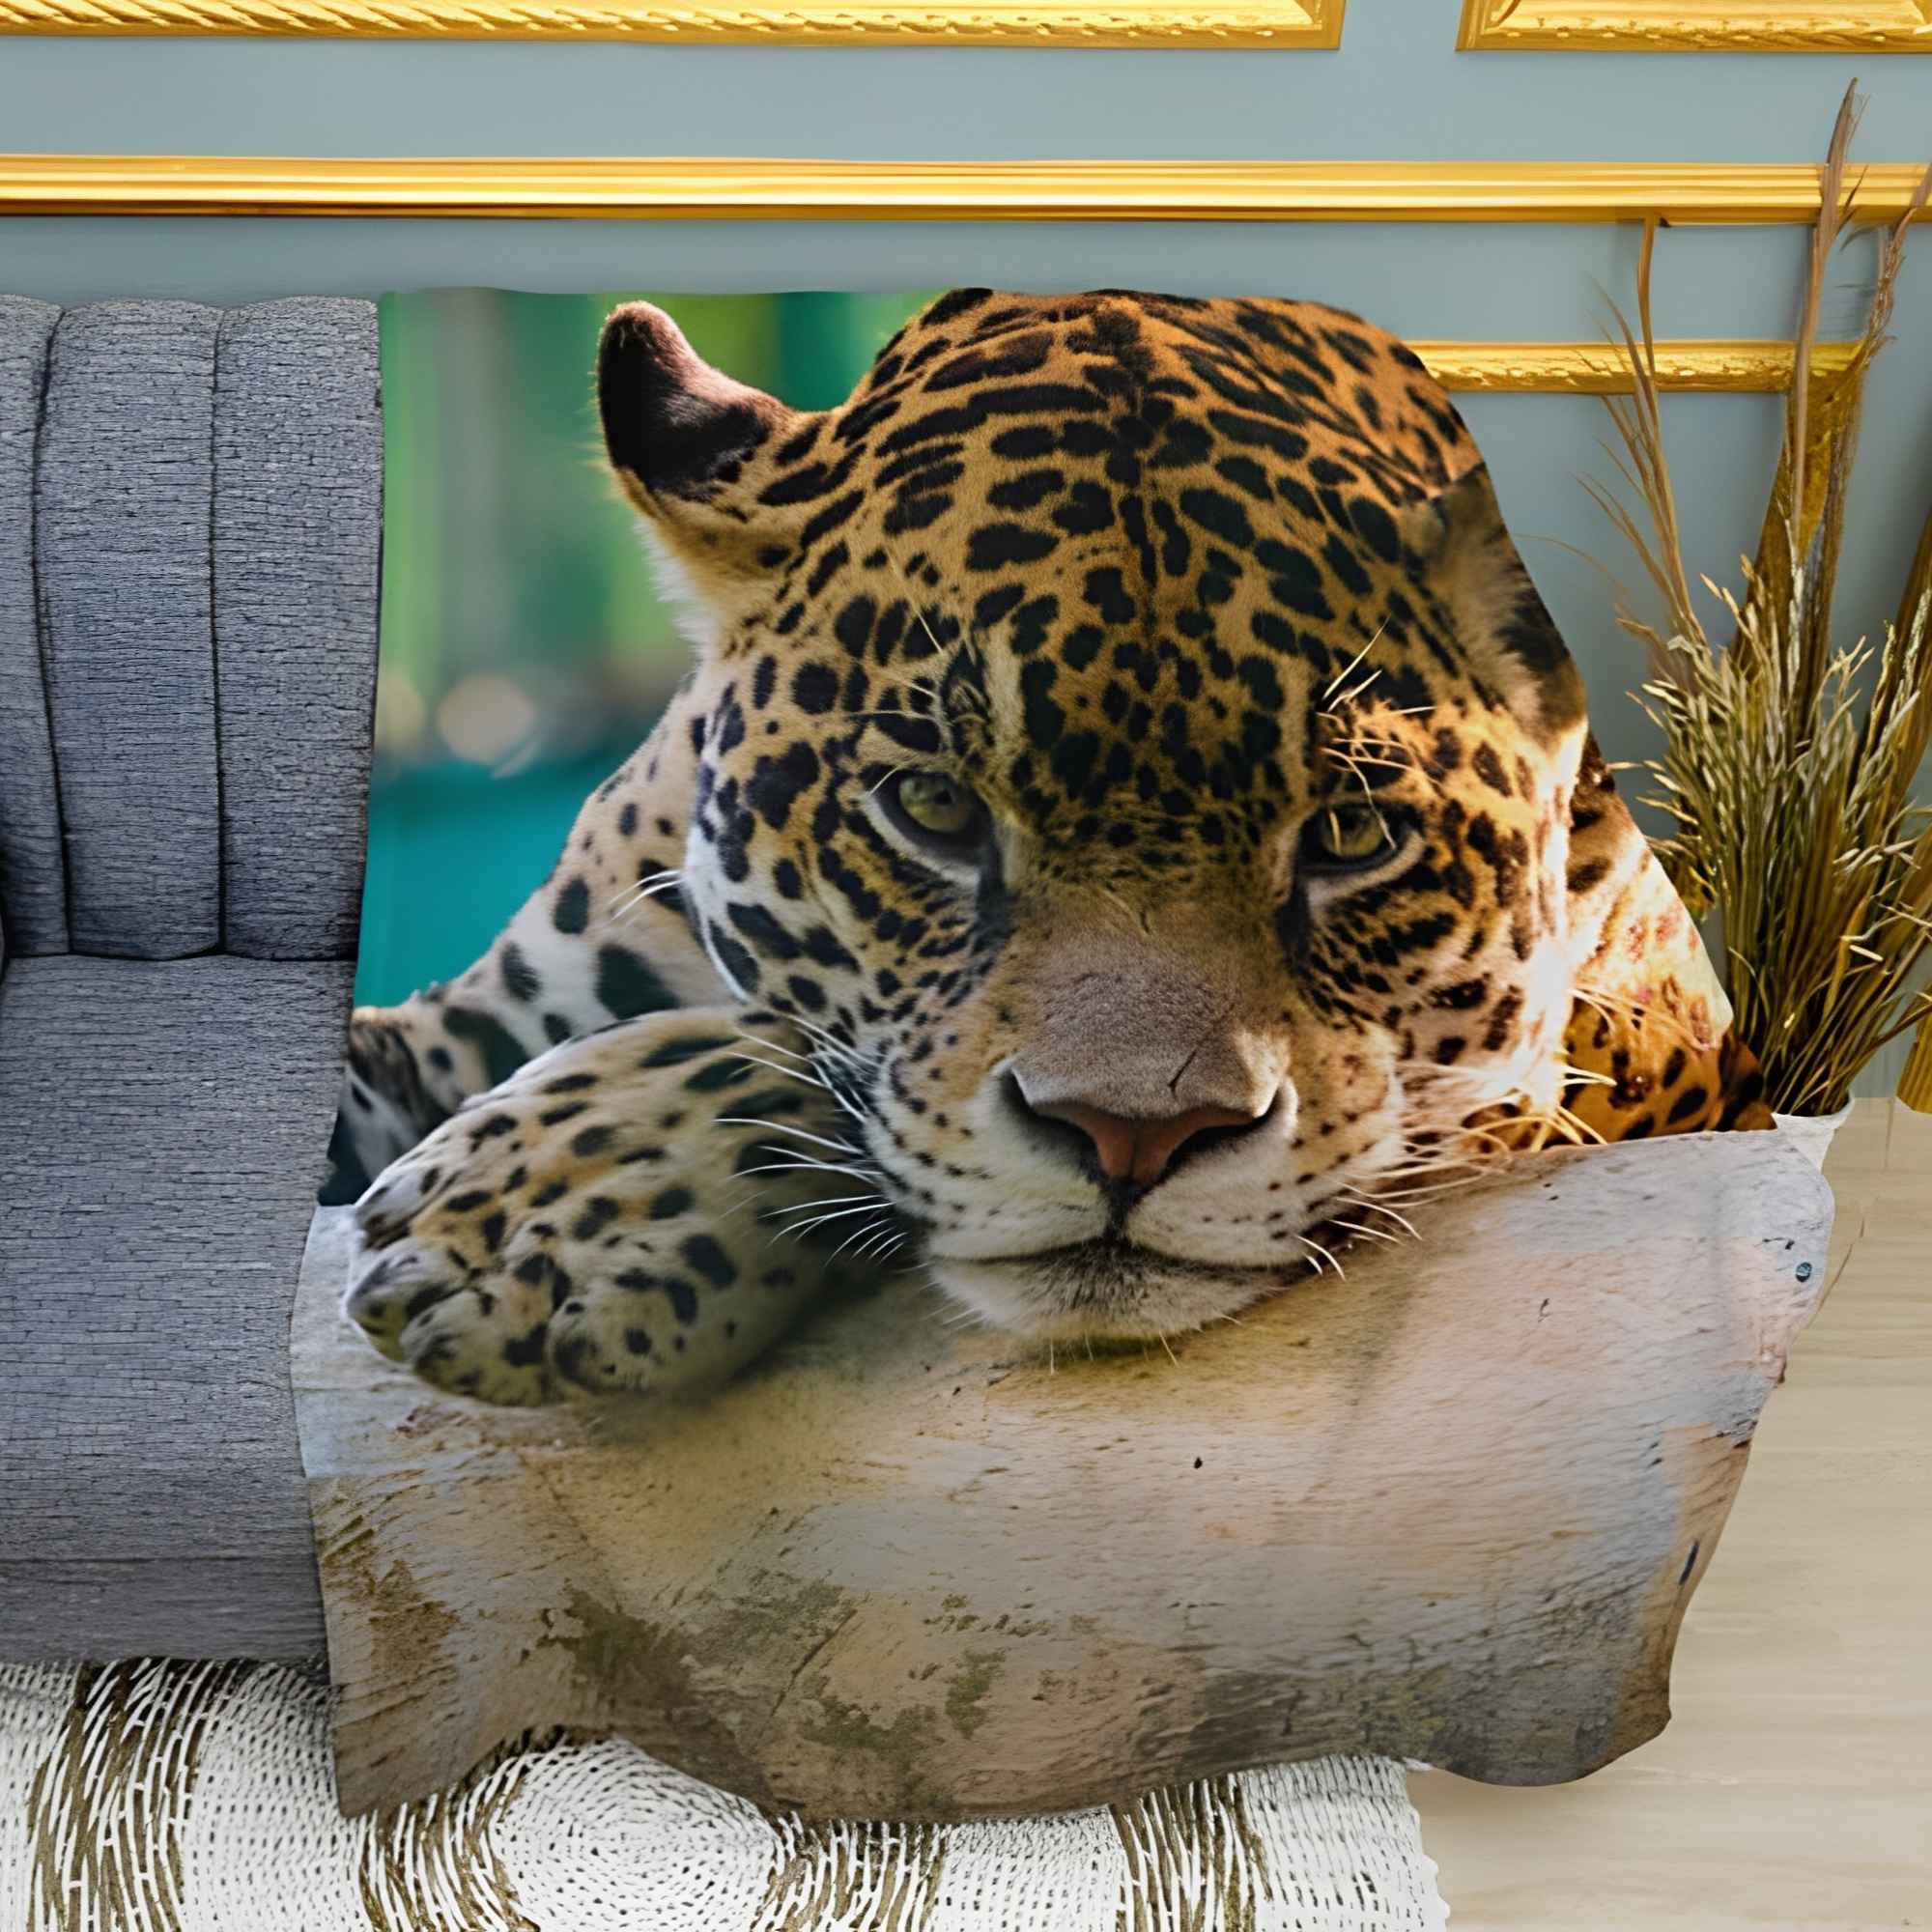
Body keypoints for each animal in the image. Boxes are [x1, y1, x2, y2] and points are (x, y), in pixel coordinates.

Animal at [335, 286, 1771, 1407]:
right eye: (933, 808)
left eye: (1352, 833)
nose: (1133, 1140)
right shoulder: (456, 1024)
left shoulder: (1603, 1054)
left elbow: (803, 1052)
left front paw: (546, 1211)